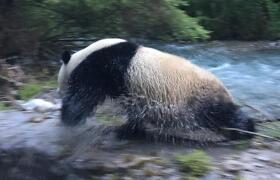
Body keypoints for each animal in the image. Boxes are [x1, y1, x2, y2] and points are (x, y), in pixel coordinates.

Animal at [58, 38, 256, 141]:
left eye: (62, 83)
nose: (59, 93)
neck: (83, 55)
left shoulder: (102, 67)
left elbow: (84, 95)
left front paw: (68, 117)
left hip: (200, 96)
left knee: (223, 113)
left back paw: (245, 129)